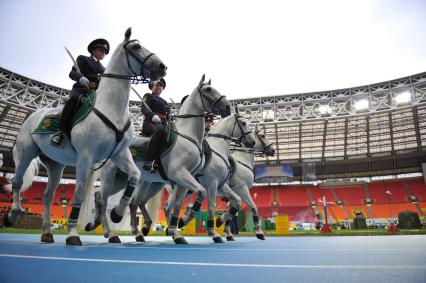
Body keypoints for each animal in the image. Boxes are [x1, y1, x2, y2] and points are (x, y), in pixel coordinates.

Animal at [4, 28, 166, 246]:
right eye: (136, 46)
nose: (162, 67)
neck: (111, 107)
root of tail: (33, 115)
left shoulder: (120, 154)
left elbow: (134, 176)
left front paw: (117, 214)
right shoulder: (86, 156)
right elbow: (80, 192)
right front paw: (73, 233)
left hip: (56, 165)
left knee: (48, 196)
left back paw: (47, 232)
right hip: (26, 153)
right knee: (17, 182)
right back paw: (13, 215)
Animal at [87, 75, 236, 244]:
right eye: (208, 90)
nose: (227, 107)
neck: (188, 136)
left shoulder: (185, 180)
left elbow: (178, 205)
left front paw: (177, 231)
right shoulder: (183, 175)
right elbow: (201, 194)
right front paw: (185, 225)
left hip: (123, 179)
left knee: (109, 198)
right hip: (109, 175)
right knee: (103, 201)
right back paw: (111, 231)